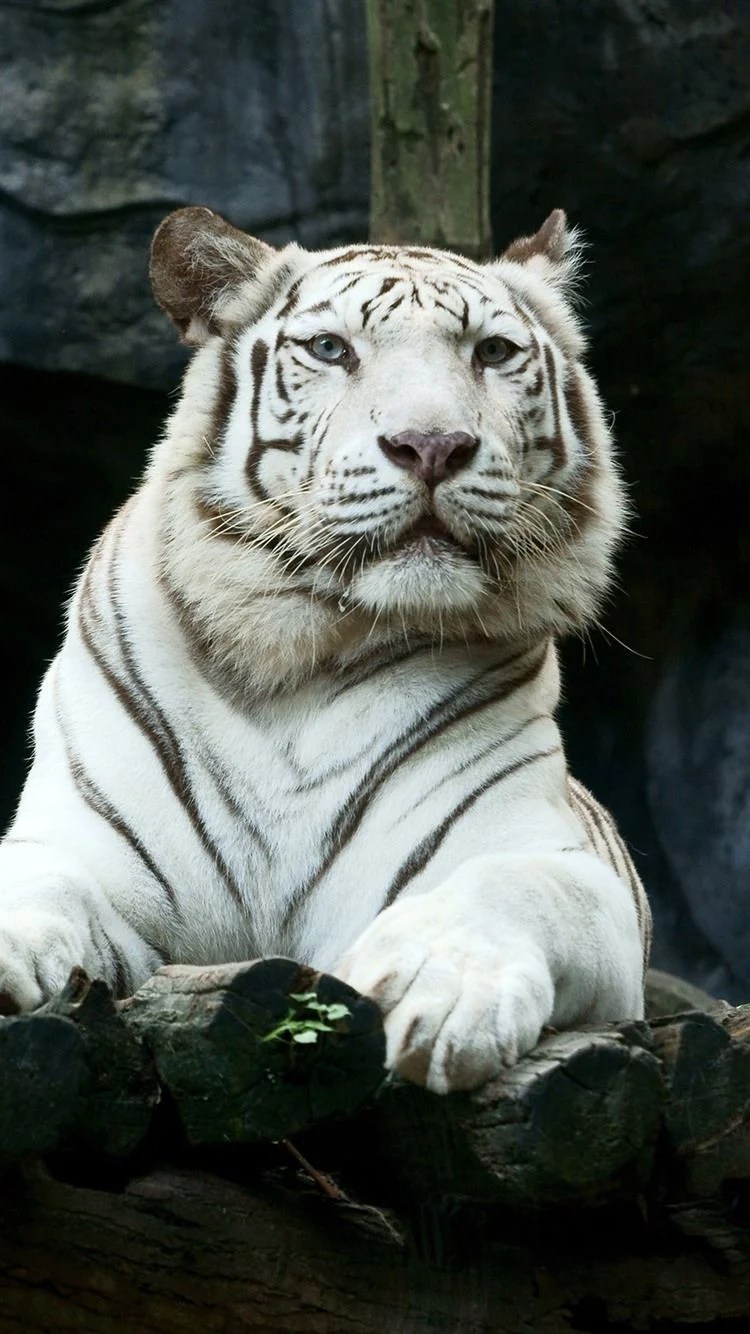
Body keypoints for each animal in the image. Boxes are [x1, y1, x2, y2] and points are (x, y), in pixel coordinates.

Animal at [0, 205, 650, 1093]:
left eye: (491, 352)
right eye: (331, 349)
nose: (432, 445)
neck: (298, 662)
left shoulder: (549, 855)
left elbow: (510, 886)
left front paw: (437, 988)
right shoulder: (80, 844)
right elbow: (37, 878)